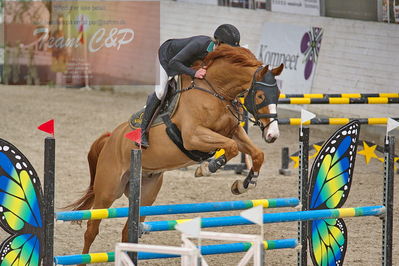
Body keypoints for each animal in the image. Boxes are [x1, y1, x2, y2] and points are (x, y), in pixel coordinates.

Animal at [69, 44, 284, 260]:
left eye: (278, 95)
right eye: (260, 96)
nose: (273, 135)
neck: (216, 91)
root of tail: (110, 139)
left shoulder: (234, 132)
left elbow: (257, 154)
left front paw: (244, 184)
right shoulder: (193, 136)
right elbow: (229, 147)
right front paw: (207, 168)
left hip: (146, 195)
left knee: (127, 230)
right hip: (108, 191)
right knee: (91, 228)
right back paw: (83, 259)